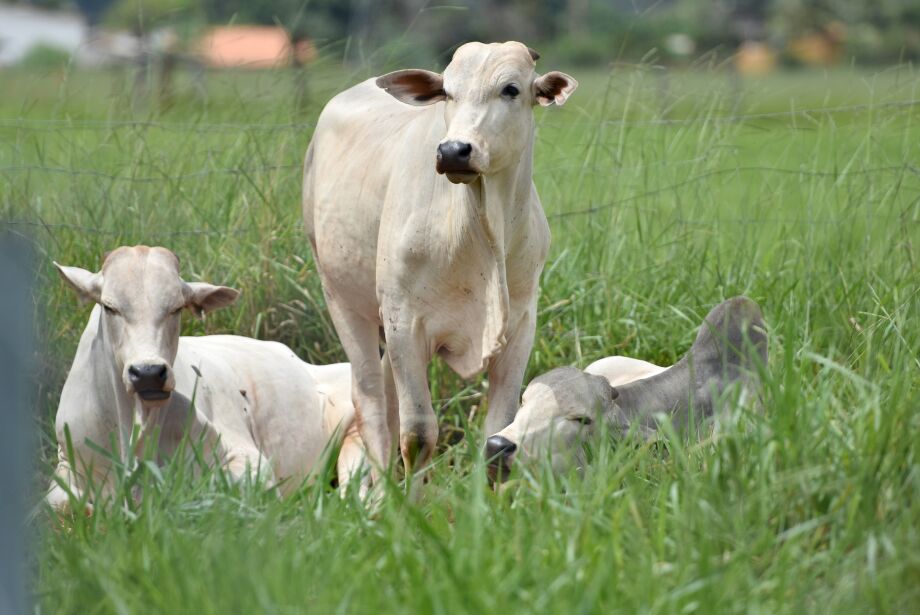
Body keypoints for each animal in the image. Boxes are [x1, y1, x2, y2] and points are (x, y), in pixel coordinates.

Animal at [302, 39, 576, 482]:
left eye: (511, 89)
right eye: (447, 92)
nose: (453, 151)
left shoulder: (520, 326)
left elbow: (497, 430)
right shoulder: (405, 321)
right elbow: (417, 435)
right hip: (343, 301)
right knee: (372, 402)